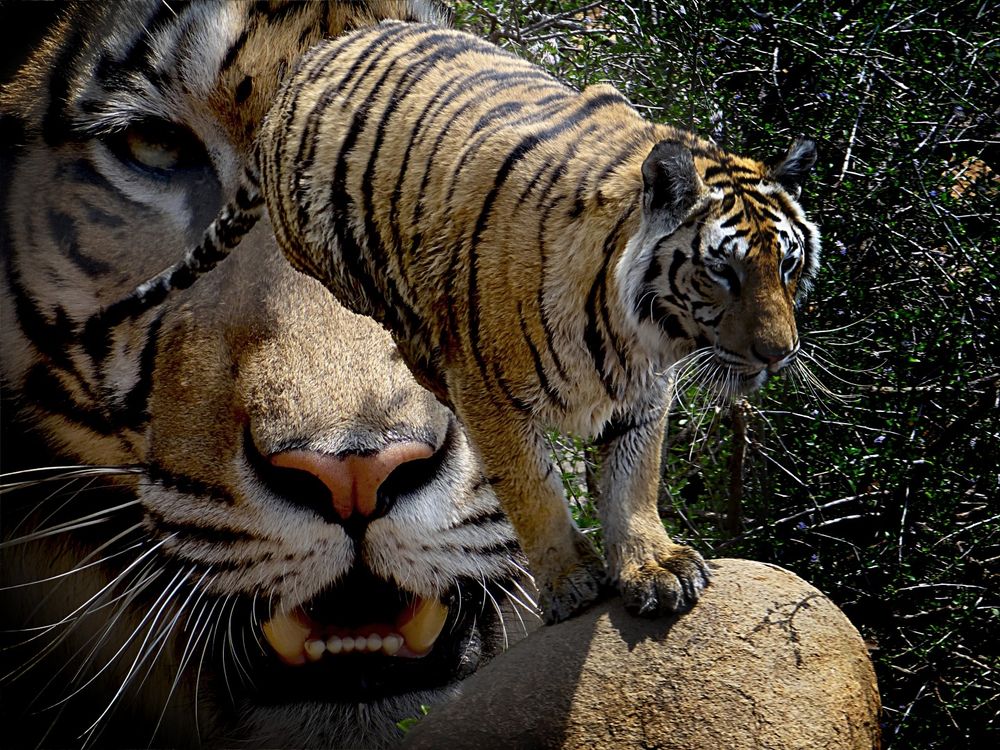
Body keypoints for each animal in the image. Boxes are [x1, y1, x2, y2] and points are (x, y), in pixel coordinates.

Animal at [156, 21, 822, 625]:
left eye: (788, 264)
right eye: (723, 271)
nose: (780, 352)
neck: (628, 329)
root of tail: (317, 52)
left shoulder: (644, 392)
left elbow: (634, 480)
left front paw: (653, 567)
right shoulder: (490, 392)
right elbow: (532, 489)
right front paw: (571, 581)